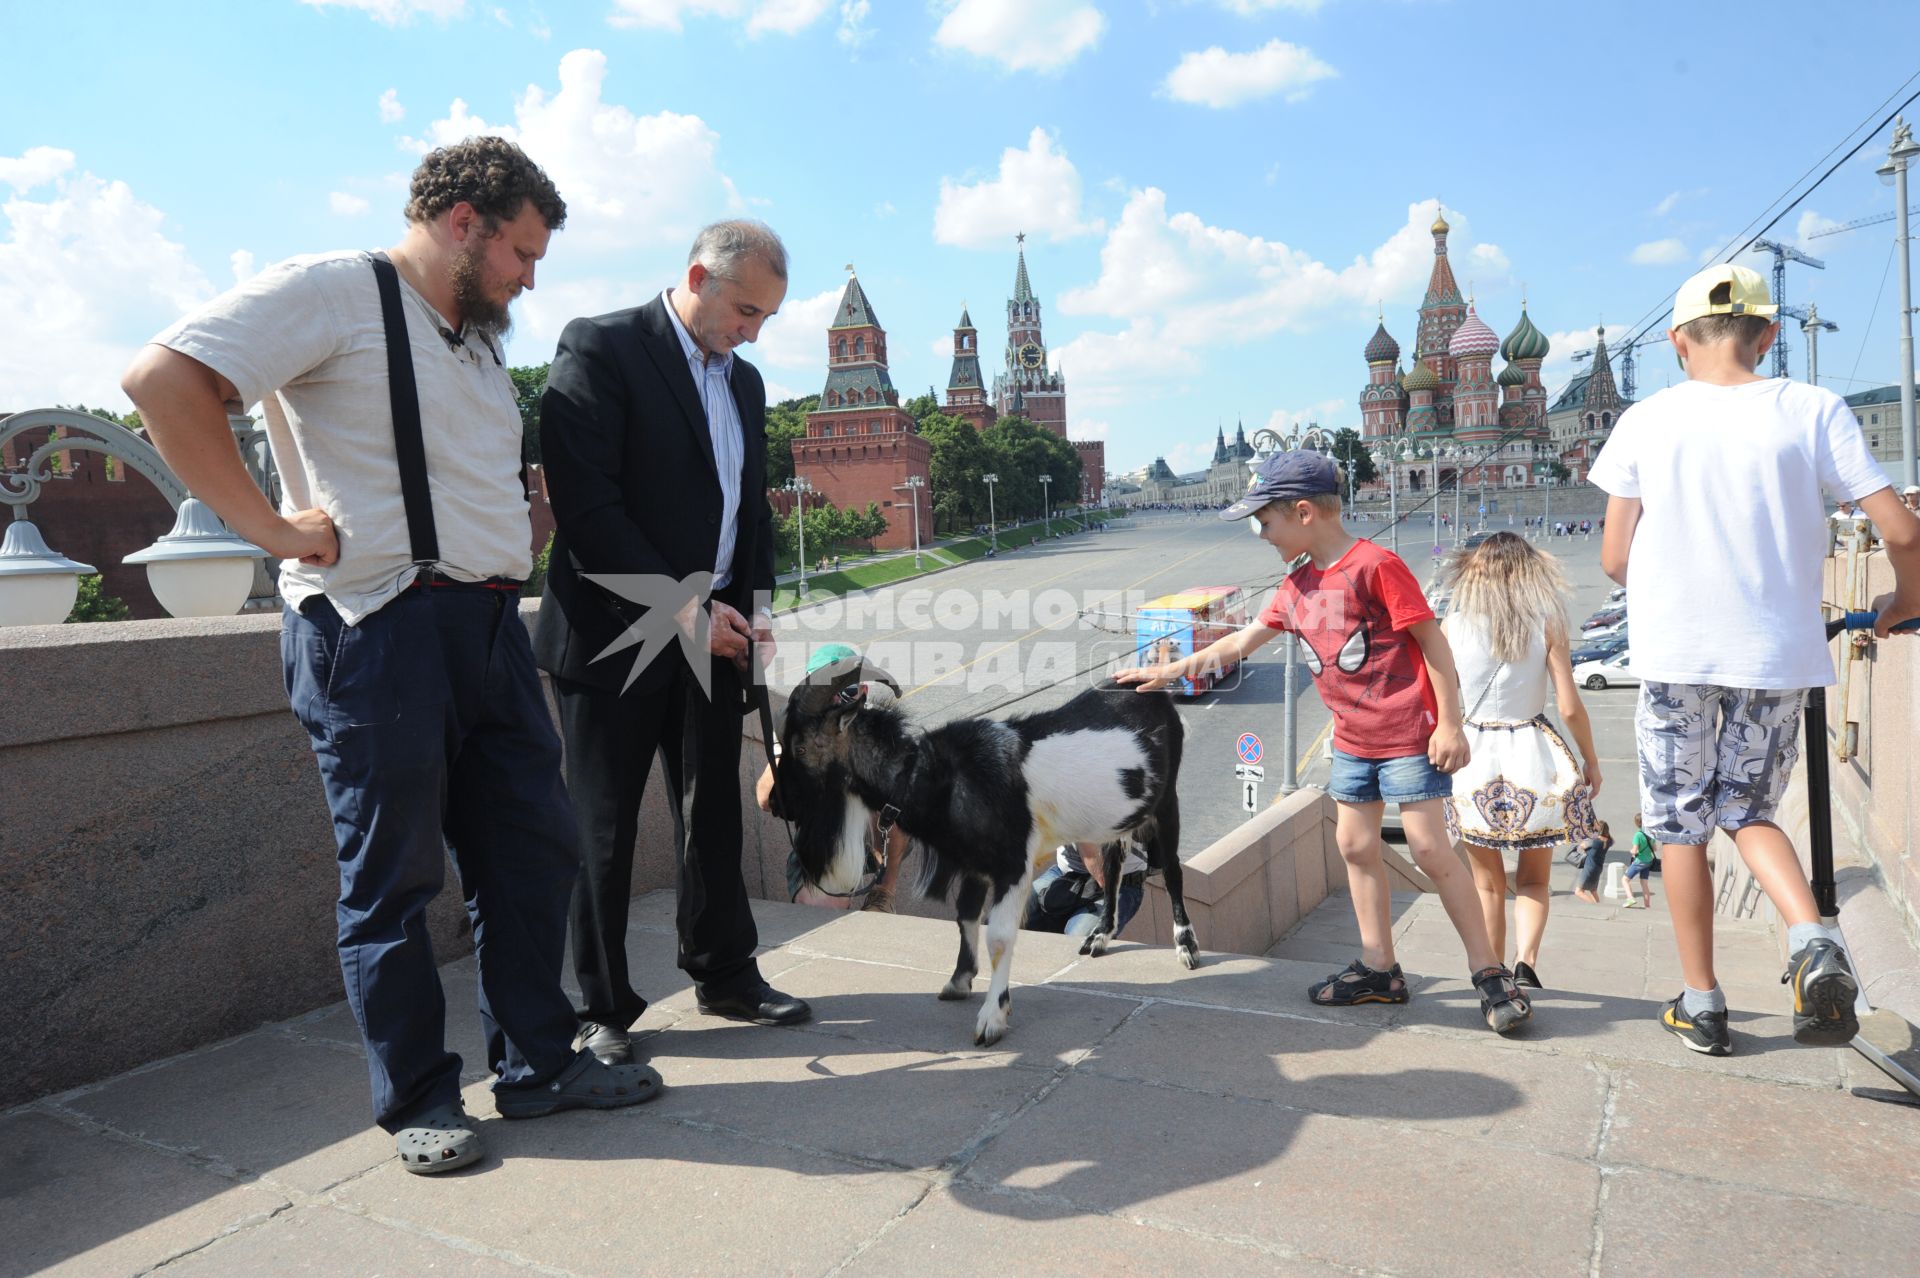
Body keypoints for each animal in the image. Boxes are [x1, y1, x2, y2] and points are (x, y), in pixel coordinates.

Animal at [768, 656, 1190, 1043]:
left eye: (799, 746)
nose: (776, 803)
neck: (935, 777)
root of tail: (1156, 695)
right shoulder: (975, 864)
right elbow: (966, 916)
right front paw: (958, 982)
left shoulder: (1013, 866)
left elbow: (998, 936)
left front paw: (992, 1018)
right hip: (1118, 819)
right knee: (1115, 863)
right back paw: (1100, 937)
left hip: (1167, 801)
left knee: (1171, 869)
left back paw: (1186, 946)